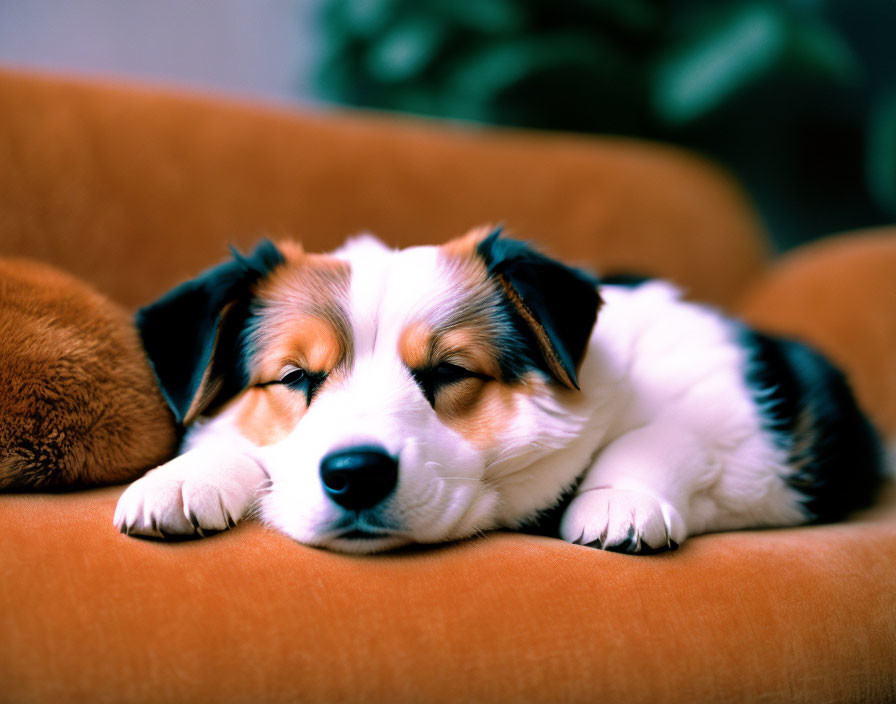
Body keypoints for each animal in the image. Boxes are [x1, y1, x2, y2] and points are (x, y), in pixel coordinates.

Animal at [112, 228, 880, 552]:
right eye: (295, 378)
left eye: (450, 372)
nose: (356, 475)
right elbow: (231, 441)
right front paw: (182, 478)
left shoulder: (735, 427)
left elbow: (664, 435)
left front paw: (618, 499)